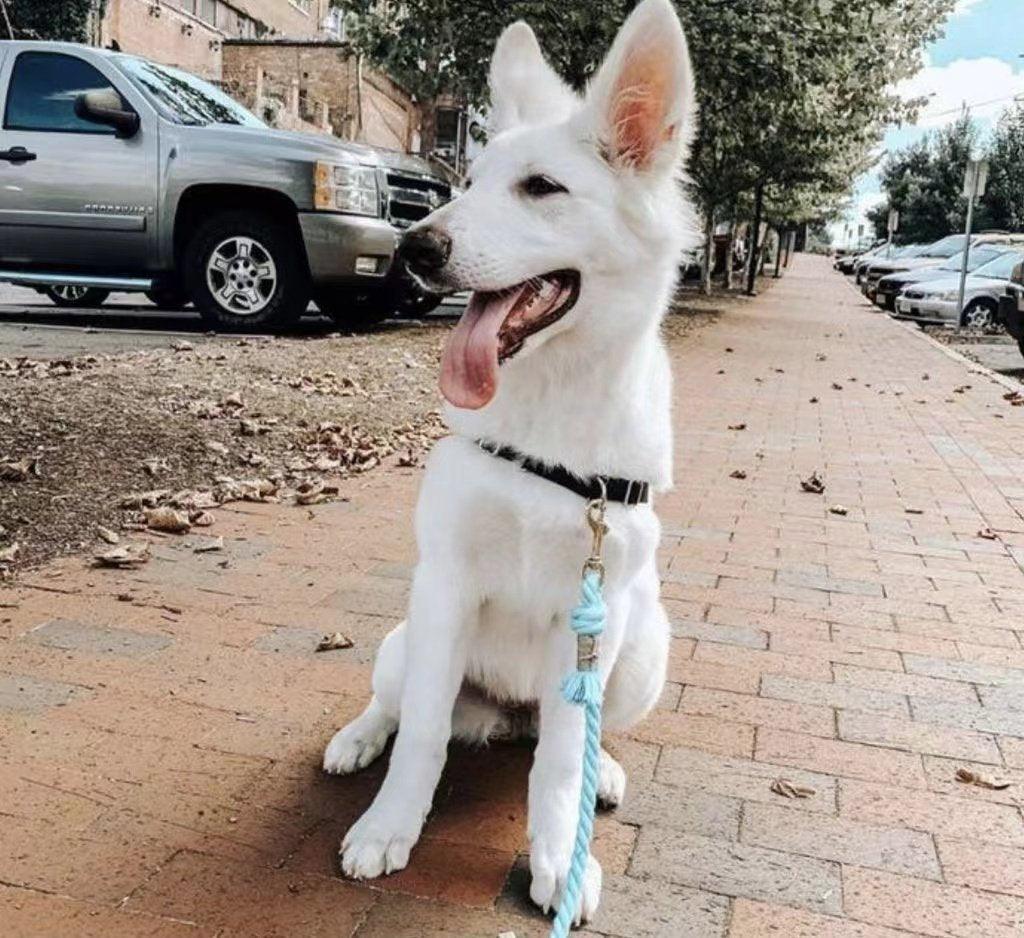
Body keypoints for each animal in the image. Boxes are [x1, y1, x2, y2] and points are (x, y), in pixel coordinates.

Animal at [323, 0, 700, 921]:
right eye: (470, 180)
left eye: (540, 188)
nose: (413, 246)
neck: (550, 420)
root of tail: (508, 714)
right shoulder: (447, 586)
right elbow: (422, 734)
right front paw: (389, 827)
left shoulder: (591, 614)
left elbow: (559, 764)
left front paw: (561, 856)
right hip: (408, 635)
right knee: (394, 704)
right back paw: (357, 738)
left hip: (641, 648)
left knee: (566, 736)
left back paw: (603, 770)